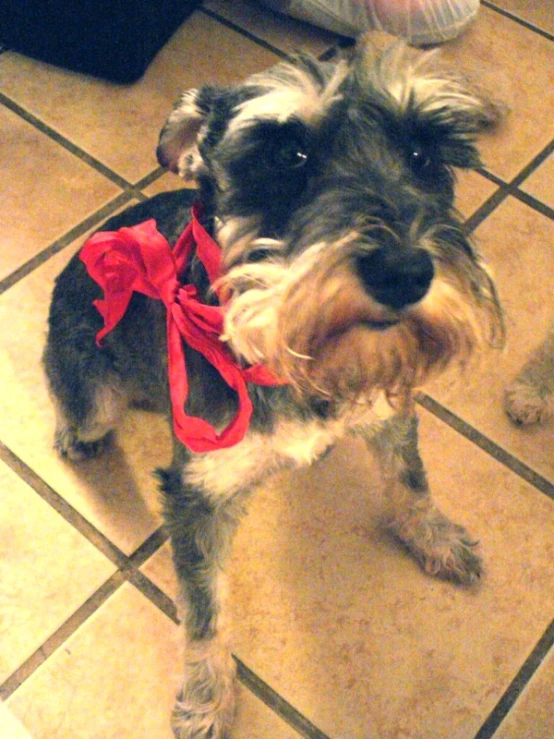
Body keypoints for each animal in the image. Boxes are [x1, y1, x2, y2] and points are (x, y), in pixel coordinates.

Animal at [43, 42, 500, 739]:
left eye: (424, 155)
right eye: (290, 155)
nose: (404, 272)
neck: (290, 359)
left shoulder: (389, 410)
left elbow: (411, 480)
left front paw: (437, 538)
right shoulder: (197, 494)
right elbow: (205, 611)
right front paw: (207, 699)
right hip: (89, 385)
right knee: (82, 408)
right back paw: (76, 433)